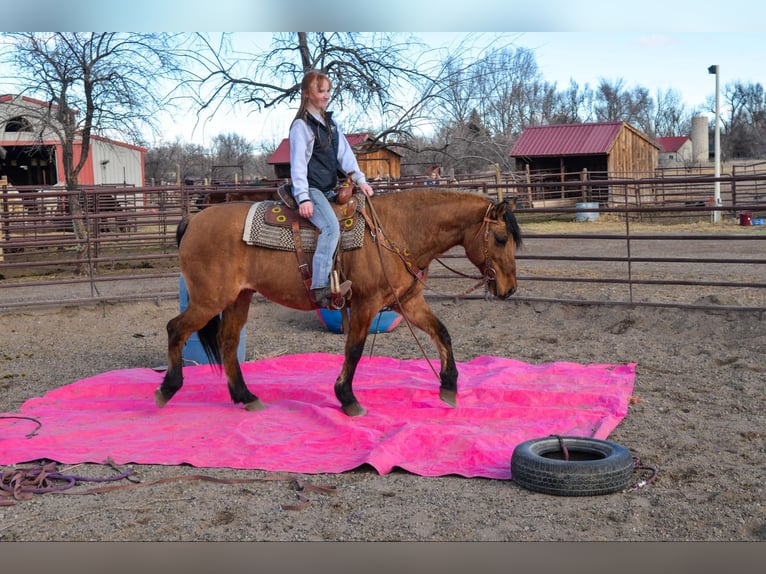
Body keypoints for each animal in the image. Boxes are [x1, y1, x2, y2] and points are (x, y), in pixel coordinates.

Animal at [158, 189, 524, 418]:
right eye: (500, 238)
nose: (509, 289)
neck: (395, 231)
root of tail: (193, 220)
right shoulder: (365, 304)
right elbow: (354, 350)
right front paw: (347, 398)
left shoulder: (409, 302)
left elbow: (442, 333)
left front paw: (448, 386)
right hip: (210, 299)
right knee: (176, 329)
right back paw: (168, 389)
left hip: (238, 297)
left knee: (228, 341)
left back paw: (245, 397)